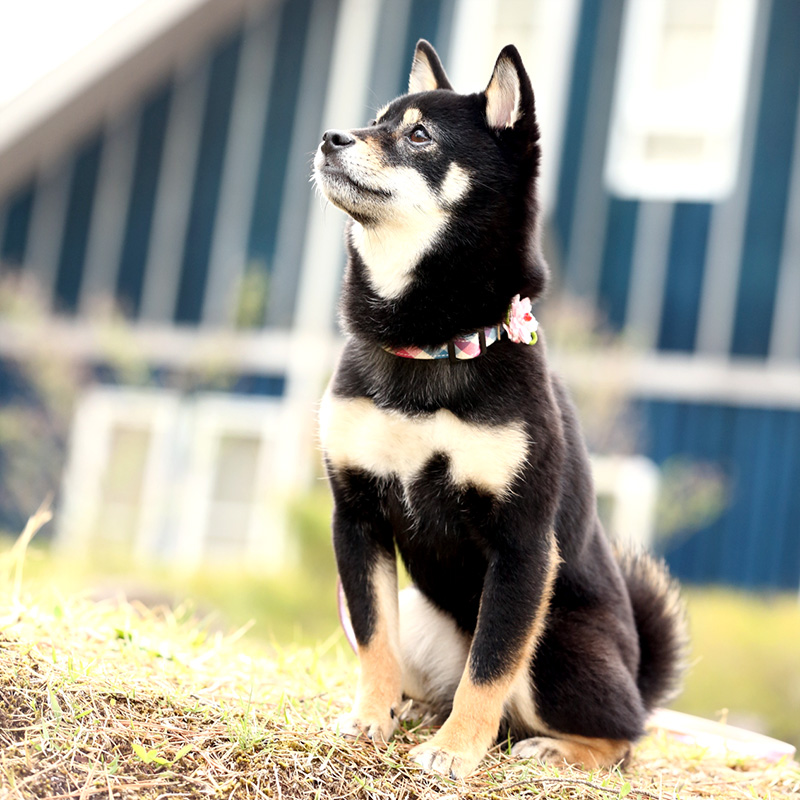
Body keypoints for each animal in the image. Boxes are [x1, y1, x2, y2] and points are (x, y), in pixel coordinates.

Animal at [312, 39, 688, 780]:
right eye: (376, 119)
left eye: (419, 136)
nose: (330, 137)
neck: (431, 344)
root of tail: (637, 675)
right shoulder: (358, 515)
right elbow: (373, 639)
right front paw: (369, 719)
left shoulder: (521, 544)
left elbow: (489, 667)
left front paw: (457, 752)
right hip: (423, 614)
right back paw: (416, 712)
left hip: (559, 644)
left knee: (623, 735)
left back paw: (556, 748)